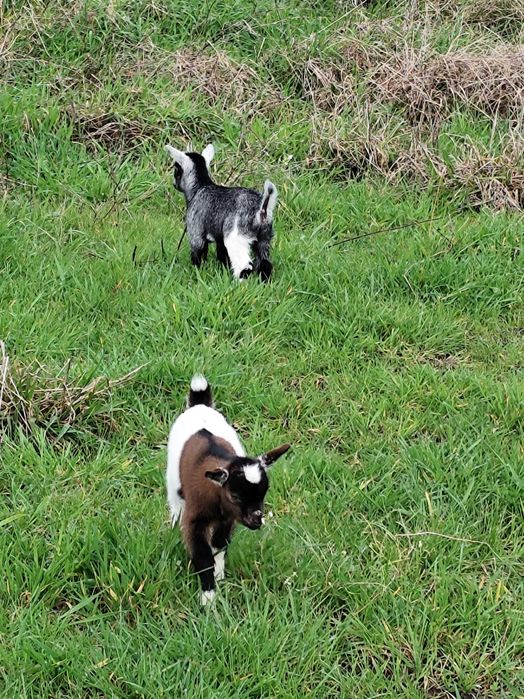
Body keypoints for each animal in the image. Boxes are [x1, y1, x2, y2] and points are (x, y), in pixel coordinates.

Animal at [165, 144, 278, 281]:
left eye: (176, 169)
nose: (174, 184)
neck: (200, 187)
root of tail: (261, 208)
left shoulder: (196, 232)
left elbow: (198, 255)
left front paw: (197, 273)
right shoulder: (220, 238)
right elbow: (222, 256)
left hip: (236, 237)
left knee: (244, 265)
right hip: (264, 238)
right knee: (266, 263)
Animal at [166, 375, 291, 605]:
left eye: (264, 493)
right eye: (235, 495)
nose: (257, 520)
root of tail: (199, 405)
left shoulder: (228, 520)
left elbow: (219, 545)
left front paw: (219, 575)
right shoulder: (195, 520)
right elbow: (203, 555)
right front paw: (208, 598)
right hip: (172, 480)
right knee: (175, 505)